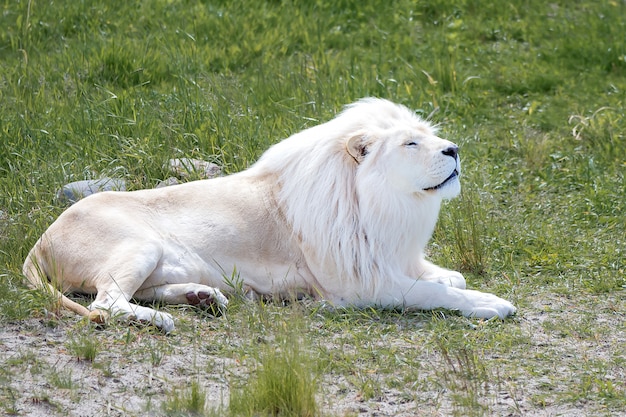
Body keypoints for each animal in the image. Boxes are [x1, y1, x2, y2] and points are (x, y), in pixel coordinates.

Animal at [22, 97, 516, 332]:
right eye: (411, 143)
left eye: (430, 135)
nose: (454, 149)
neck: (393, 206)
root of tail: (39, 243)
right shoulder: (357, 287)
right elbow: (436, 293)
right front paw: (491, 304)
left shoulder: (391, 259)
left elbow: (448, 278)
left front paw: (455, 280)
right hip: (138, 244)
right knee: (106, 303)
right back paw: (163, 320)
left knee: (135, 293)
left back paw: (203, 297)